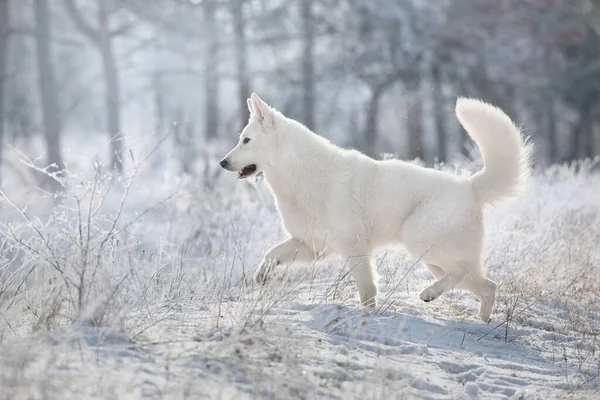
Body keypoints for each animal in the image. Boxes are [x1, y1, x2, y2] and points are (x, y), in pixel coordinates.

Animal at [220, 93, 528, 322]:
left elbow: (366, 288)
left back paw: (429, 294)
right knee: (487, 285)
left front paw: (367, 314)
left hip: (421, 241)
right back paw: (481, 321)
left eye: (246, 140)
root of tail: (470, 187)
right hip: (436, 259)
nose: (222, 163)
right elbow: (271, 253)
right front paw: (261, 276)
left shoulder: (354, 247)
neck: (300, 172)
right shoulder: (311, 245)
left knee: (467, 276)